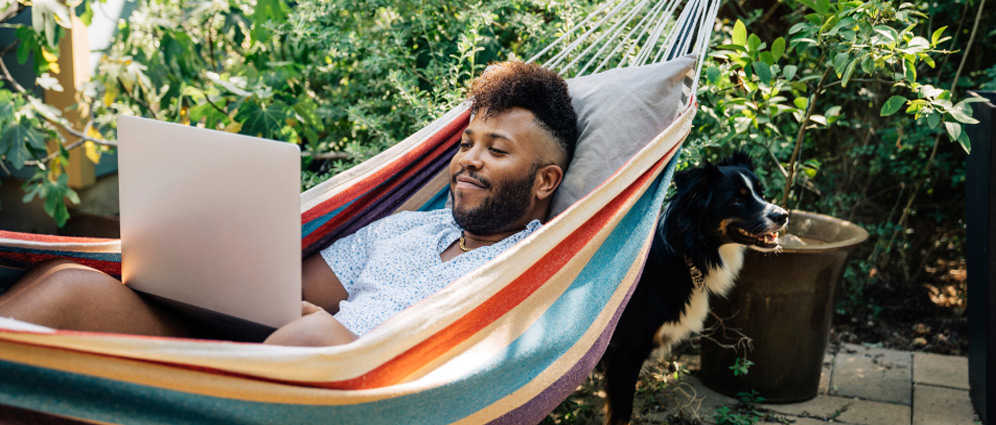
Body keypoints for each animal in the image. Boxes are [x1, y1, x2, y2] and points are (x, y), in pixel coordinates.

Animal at [604, 152, 788, 424]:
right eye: (737, 199)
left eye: (761, 193)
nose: (783, 215)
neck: (685, 253)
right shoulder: (625, 352)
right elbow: (621, 415)